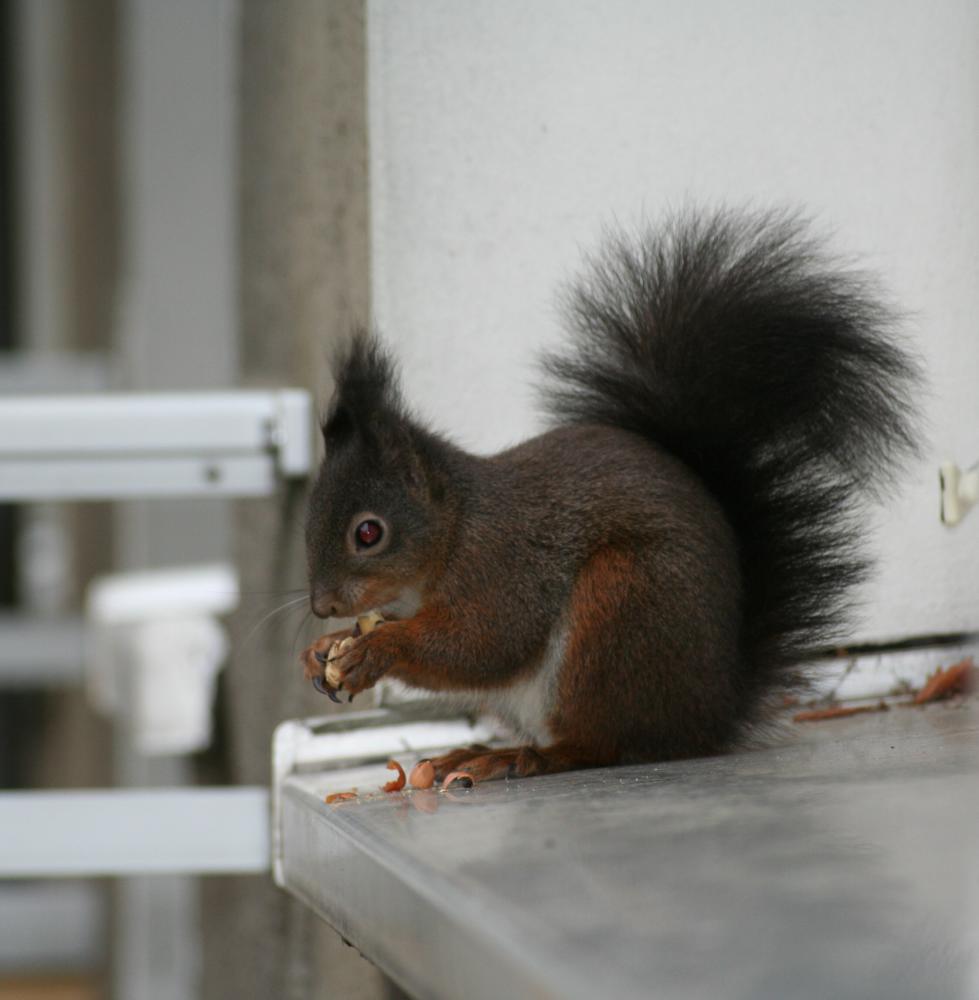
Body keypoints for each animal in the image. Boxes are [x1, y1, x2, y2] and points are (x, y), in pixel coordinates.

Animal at [298, 211, 920, 784]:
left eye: (369, 532)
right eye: (310, 521)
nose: (322, 606)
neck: (453, 531)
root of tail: (710, 713)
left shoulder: (505, 566)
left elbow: (485, 643)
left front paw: (377, 650)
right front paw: (324, 648)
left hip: (619, 606)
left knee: (599, 747)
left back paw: (523, 758)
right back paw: (474, 752)